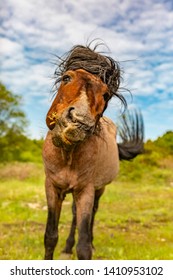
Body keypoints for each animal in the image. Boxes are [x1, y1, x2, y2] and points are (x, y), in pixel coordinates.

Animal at [42, 43, 144, 260]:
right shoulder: (52, 187)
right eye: (66, 78)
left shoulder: (86, 190)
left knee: (92, 215)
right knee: (74, 213)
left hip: (98, 189)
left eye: (106, 95)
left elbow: (84, 247)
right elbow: (50, 236)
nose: (79, 122)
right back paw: (67, 247)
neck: (68, 156)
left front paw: (86, 245)